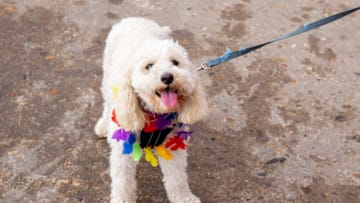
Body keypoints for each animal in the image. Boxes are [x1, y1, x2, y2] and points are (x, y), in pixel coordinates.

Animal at [95, 17, 208, 203]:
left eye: (175, 62)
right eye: (149, 66)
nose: (168, 77)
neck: (155, 113)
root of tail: (134, 18)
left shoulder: (173, 145)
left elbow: (177, 178)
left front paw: (183, 197)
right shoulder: (123, 151)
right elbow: (123, 182)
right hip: (107, 77)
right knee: (107, 103)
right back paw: (103, 124)